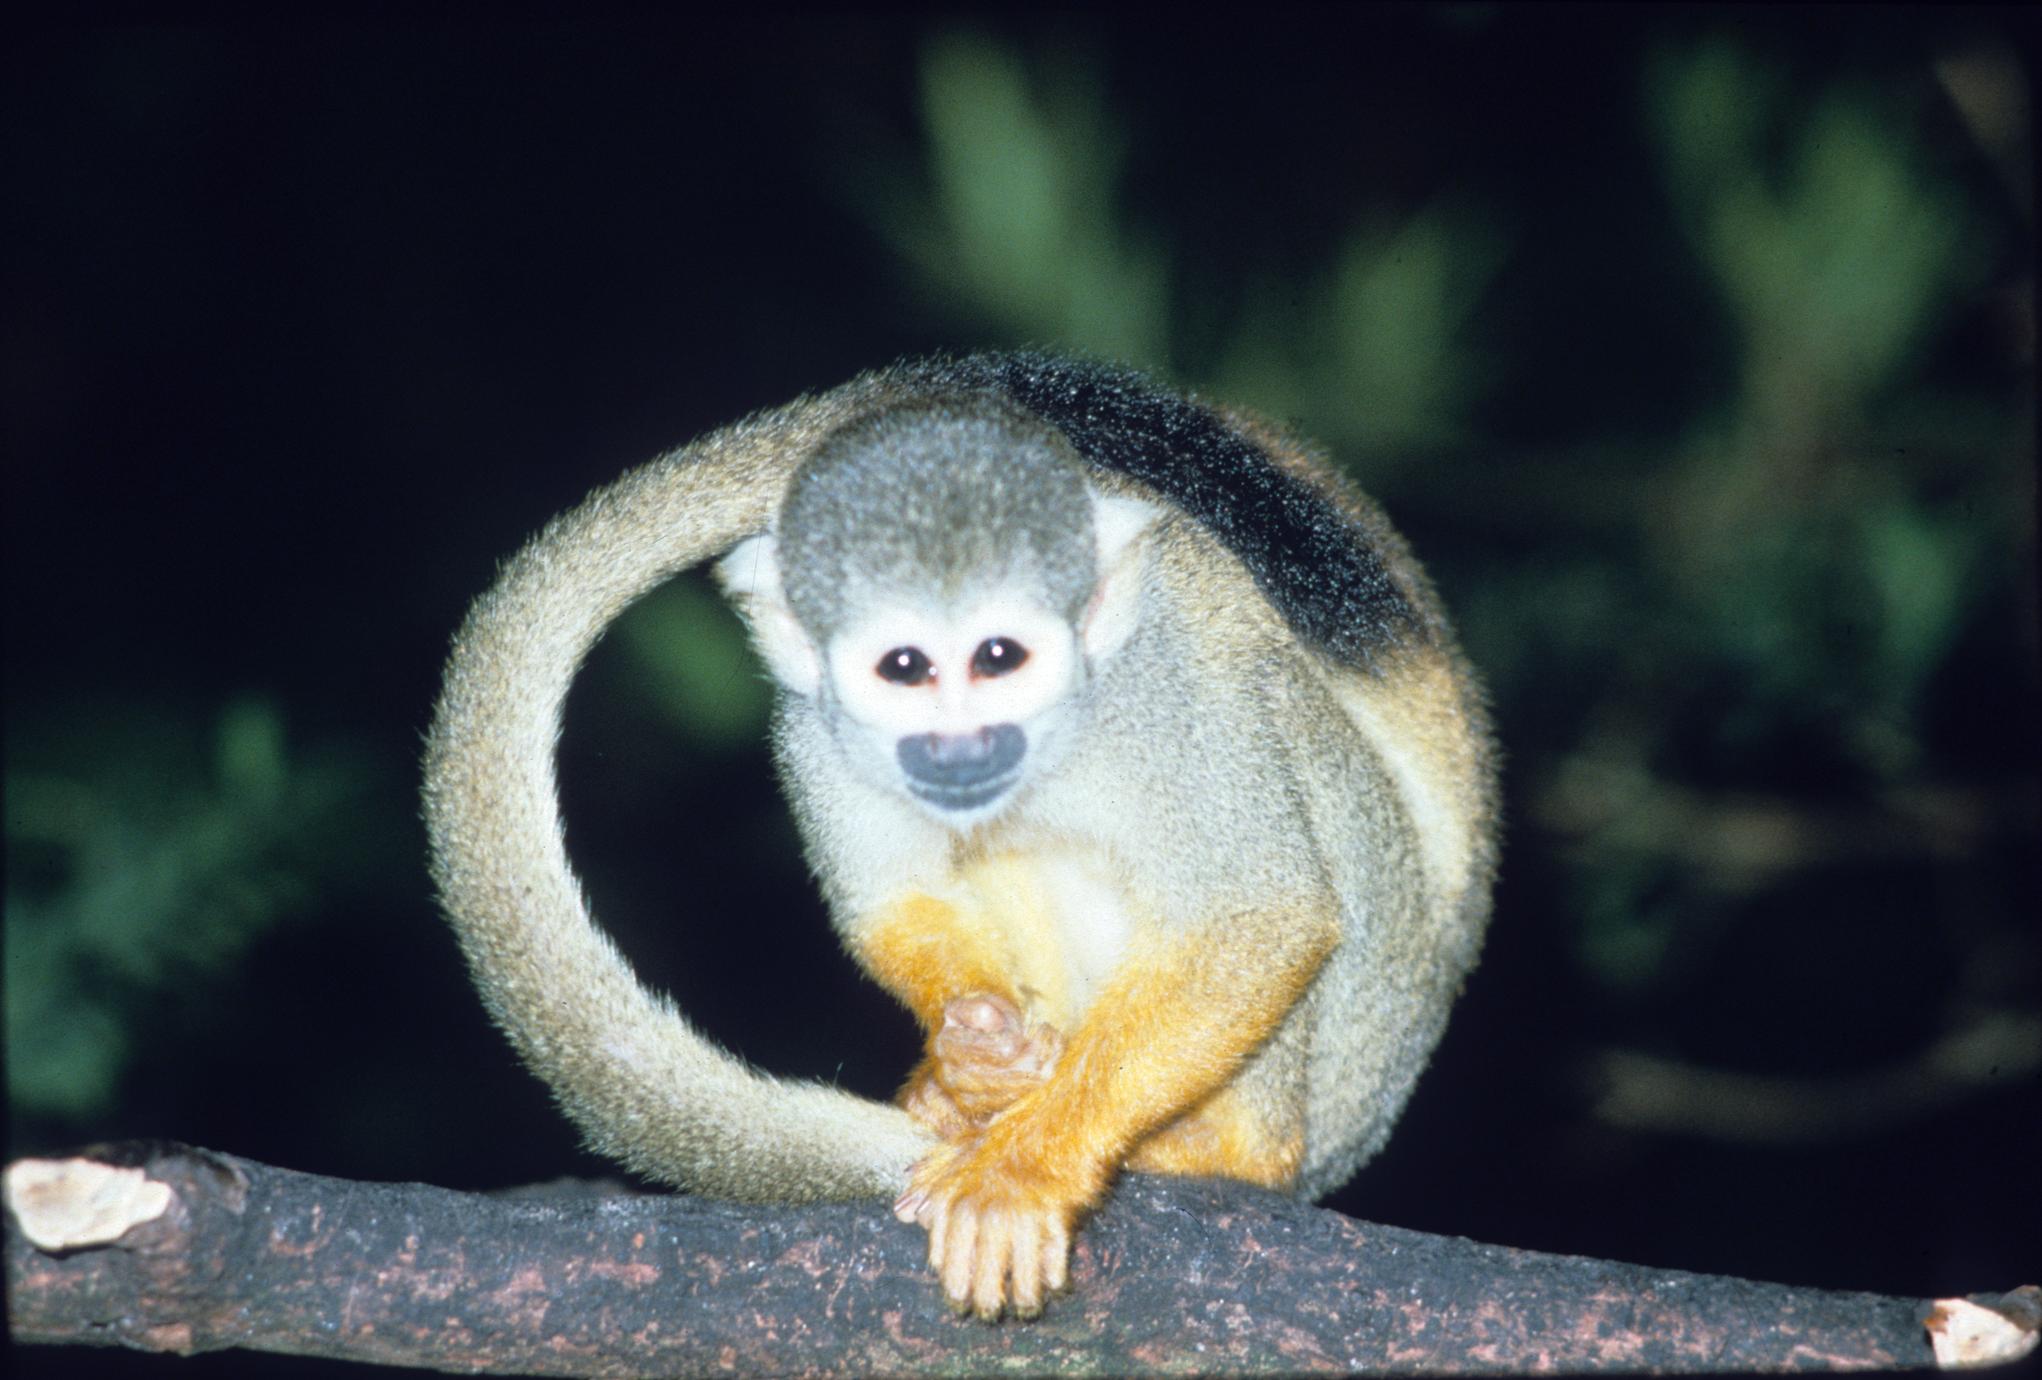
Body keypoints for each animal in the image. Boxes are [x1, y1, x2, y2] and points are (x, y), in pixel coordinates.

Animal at [422, 351, 1502, 1322]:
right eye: (904, 667)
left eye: (997, 657)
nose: (961, 746)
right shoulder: (808, 723)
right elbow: (892, 899)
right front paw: (977, 1050)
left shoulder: (1176, 691)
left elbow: (1260, 913)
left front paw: (1024, 1163)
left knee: (1287, 720)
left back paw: (1224, 1148)